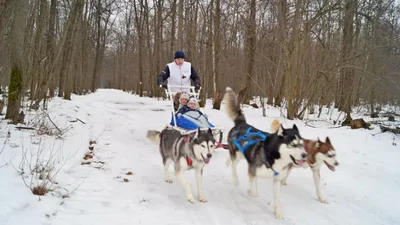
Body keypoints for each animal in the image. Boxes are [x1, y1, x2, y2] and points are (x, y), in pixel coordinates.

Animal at [223, 86, 308, 220]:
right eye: (293, 144)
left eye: (301, 144)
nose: (305, 155)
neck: (272, 156)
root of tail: (242, 123)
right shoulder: (252, 171)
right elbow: (254, 192)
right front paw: (249, 191)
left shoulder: (277, 180)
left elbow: (277, 198)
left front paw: (278, 212)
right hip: (237, 155)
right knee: (233, 165)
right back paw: (235, 179)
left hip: (241, 154)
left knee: (230, 158)